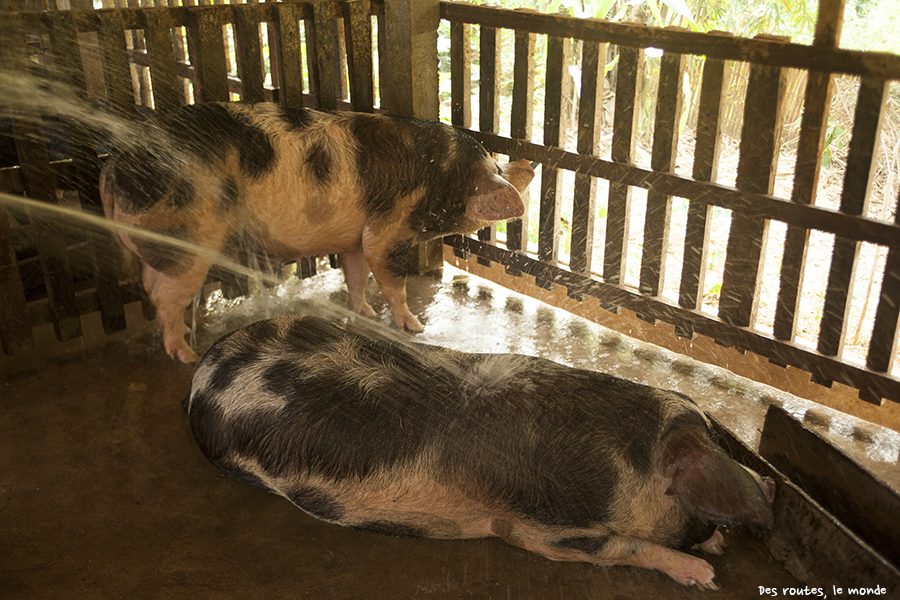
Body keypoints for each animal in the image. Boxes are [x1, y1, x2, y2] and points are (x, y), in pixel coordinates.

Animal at [100, 103, 536, 360]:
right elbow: (391, 279)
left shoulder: (355, 236)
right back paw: (186, 355)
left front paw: (362, 312)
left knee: (151, 285)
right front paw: (414, 326)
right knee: (164, 297)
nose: (525, 167)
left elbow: (356, 274)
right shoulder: (388, 229)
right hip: (187, 241)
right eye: (495, 170)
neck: (438, 173)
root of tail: (116, 166)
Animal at [186, 314, 776, 592]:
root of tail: (203, 371)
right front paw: (706, 574)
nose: (769, 486)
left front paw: (718, 546)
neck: (627, 463)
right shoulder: (539, 529)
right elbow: (622, 547)